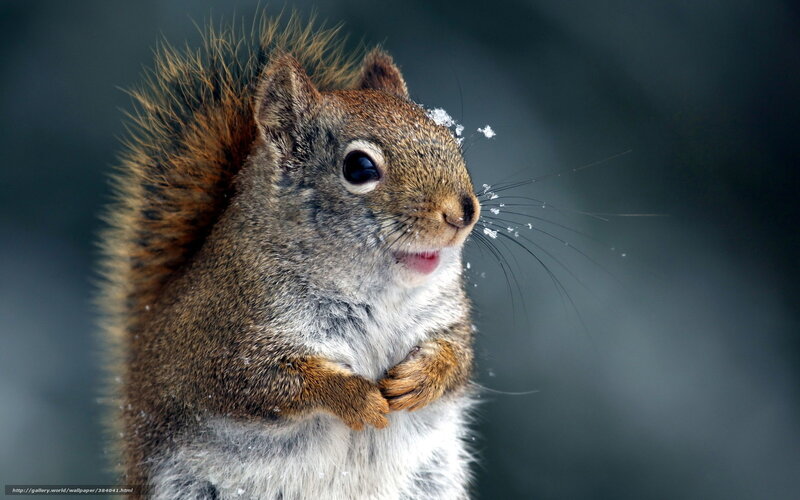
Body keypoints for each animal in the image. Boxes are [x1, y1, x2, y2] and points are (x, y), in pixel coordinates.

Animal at [99, 14, 481, 500]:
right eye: (359, 168)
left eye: (447, 136)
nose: (463, 212)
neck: (379, 292)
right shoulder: (225, 341)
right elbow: (272, 384)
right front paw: (354, 397)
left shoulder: (446, 316)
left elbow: (457, 355)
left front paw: (421, 379)